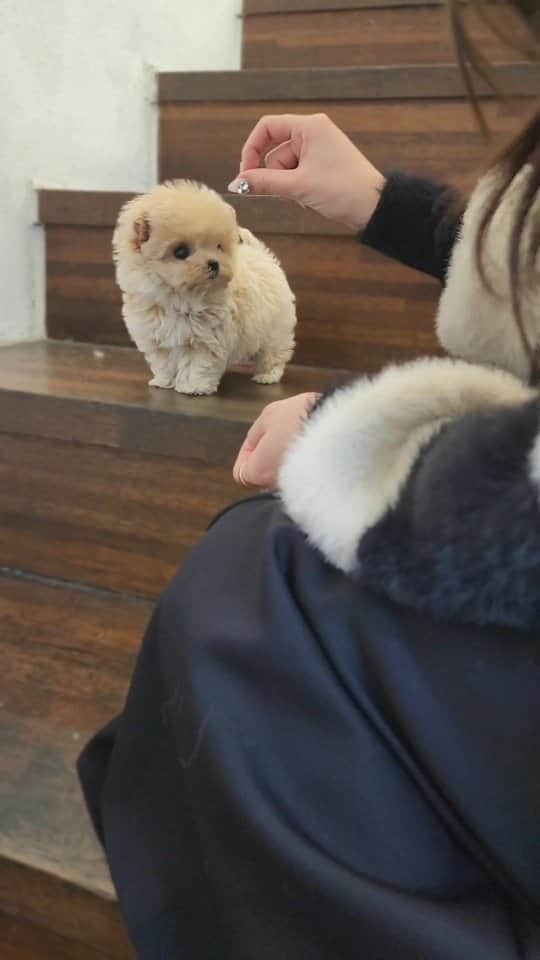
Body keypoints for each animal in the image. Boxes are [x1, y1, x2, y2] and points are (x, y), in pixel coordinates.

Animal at [113, 180, 296, 394]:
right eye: (181, 252)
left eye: (219, 247)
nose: (214, 263)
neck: (180, 298)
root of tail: (263, 256)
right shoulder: (157, 337)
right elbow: (164, 362)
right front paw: (164, 381)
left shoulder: (206, 340)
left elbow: (197, 365)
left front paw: (193, 387)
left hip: (276, 329)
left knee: (273, 354)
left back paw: (267, 376)